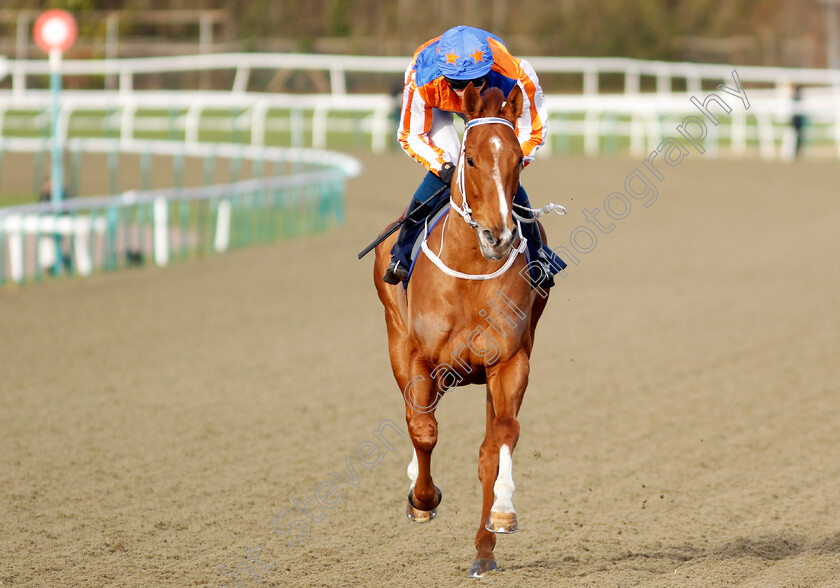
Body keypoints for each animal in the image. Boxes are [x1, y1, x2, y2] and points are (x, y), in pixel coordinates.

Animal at [374, 84, 552, 580]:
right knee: (417, 417)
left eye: (518, 159)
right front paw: (421, 499)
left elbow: (500, 440)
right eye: (470, 159)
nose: (499, 236)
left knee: (488, 446)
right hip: (395, 339)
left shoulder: (509, 360)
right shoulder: (419, 357)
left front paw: (503, 514)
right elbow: (423, 430)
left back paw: (483, 551)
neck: (472, 271)